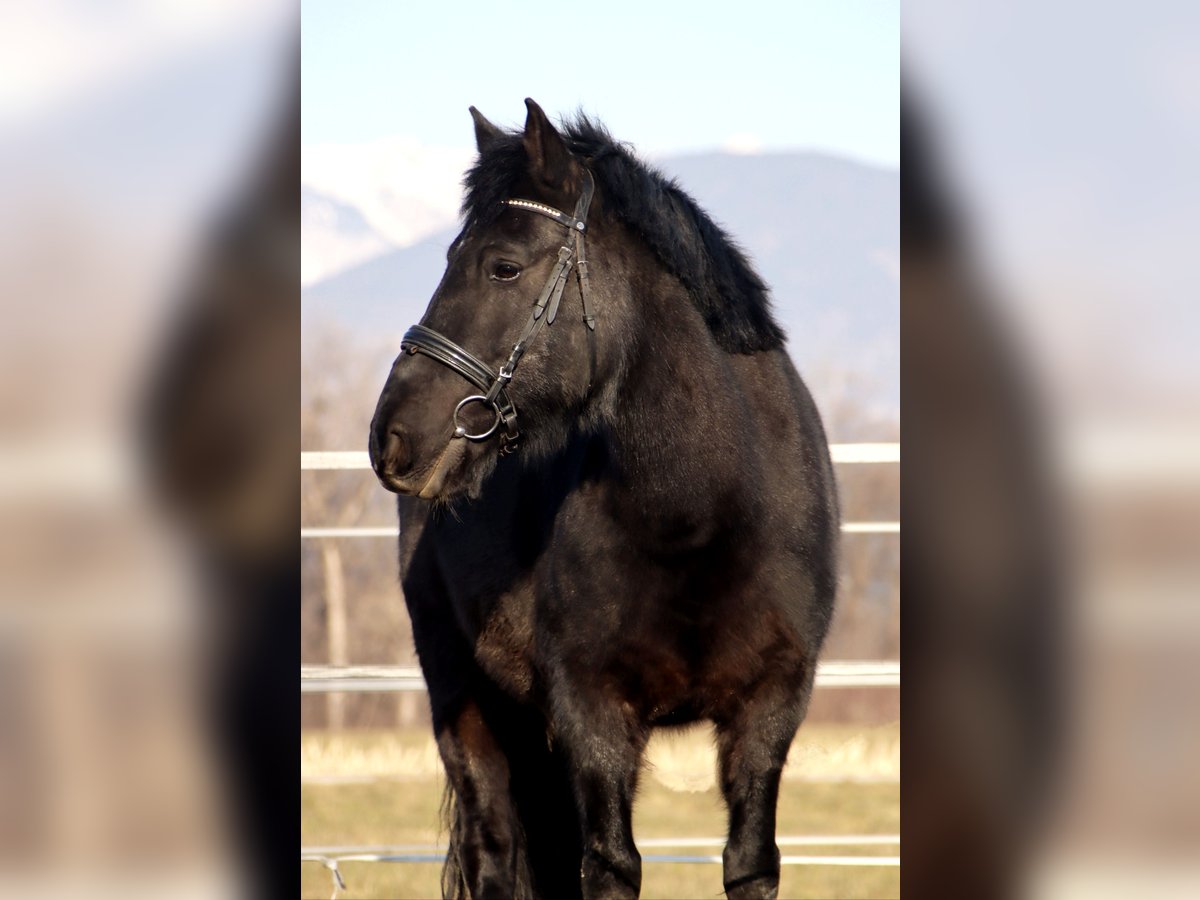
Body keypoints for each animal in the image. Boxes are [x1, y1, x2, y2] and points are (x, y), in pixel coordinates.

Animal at [369, 100, 840, 900]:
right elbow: (611, 866)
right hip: (465, 700)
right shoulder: (592, 712)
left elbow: (750, 862)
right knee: (496, 853)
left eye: (503, 266)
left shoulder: (771, 707)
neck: (704, 515)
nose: (391, 436)